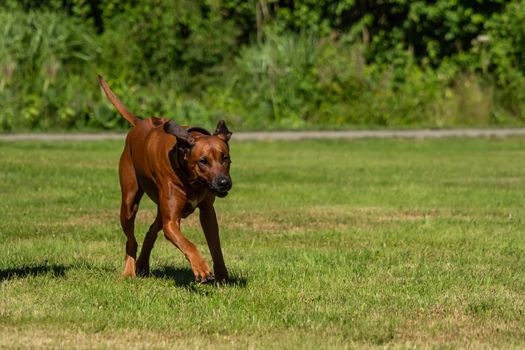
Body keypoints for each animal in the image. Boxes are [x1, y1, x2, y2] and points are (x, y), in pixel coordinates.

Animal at [98, 75, 231, 284]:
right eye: (203, 161)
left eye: (225, 157)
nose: (224, 183)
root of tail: (139, 123)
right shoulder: (171, 222)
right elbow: (188, 243)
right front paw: (201, 268)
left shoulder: (207, 212)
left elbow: (215, 244)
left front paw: (222, 276)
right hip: (129, 203)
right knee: (131, 239)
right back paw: (129, 271)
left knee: (151, 230)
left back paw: (143, 265)